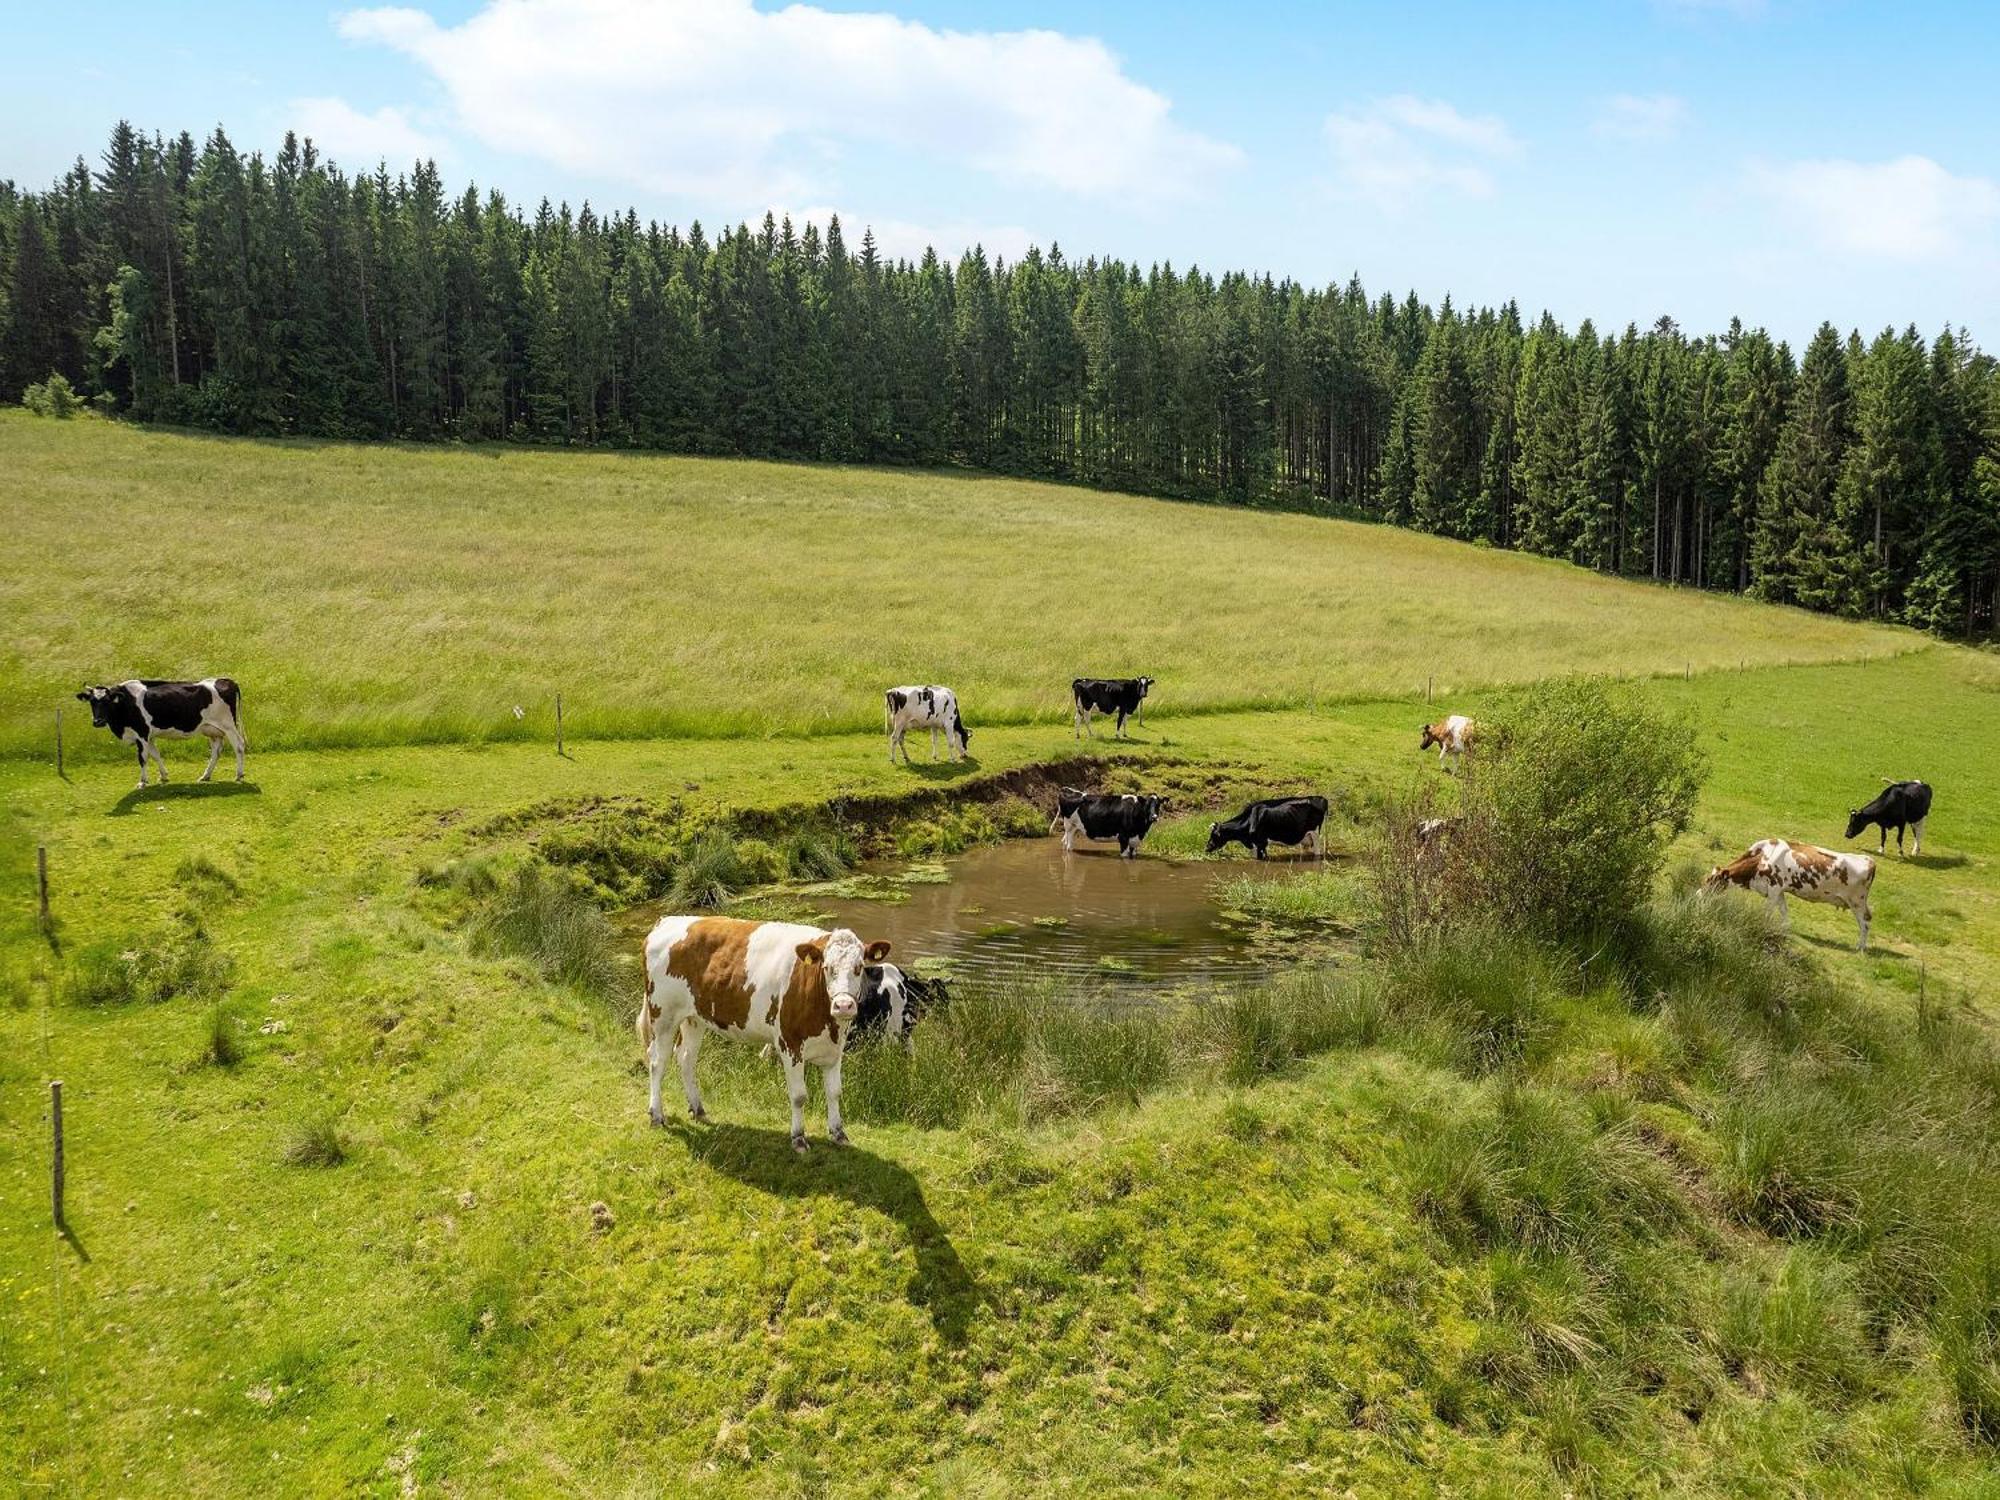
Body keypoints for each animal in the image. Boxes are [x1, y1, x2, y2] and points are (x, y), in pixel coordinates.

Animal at [76, 680, 246, 792]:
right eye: (92, 701)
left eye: (107, 701)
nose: (98, 721)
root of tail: (226, 680)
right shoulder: (149, 736)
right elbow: (155, 755)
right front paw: (164, 776)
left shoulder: (142, 734)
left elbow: (142, 758)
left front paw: (142, 782)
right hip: (213, 730)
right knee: (216, 751)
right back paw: (205, 776)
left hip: (229, 726)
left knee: (238, 746)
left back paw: (238, 775)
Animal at [640, 916, 892, 1152]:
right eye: (827, 967)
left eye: (859, 967)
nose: (843, 1005)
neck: (828, 1024)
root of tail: (668, 920)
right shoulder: (790, 1043)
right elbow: (799, 1096)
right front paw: (798, 1138)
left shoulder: (835, 1049)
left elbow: (835, 1092)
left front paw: (838, 1133)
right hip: (663, 1015)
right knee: (657, 1062)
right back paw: (656, 1115)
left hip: (694, 1017)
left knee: (686, 1058)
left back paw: (698, 1109)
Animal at [1200, 792, 1328, 864]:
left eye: (1214, 835)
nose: (1206, 848)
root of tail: (1320, 798)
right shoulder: (1254, 844)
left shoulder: (1261, 843)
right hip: (1305, 837)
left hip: (1315, 833)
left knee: (1317, 852)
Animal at [1704, 840, 1872, 956]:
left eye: (1711, 882)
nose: (1699, 895)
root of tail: (1869, 860)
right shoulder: (1779, 890)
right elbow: (1784, 910)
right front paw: (1785, 929)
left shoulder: (1774, 888)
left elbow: (1767, 912)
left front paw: (1761, 926)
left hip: (1857, 902)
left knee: (1865, 924)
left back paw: (1860, 948)